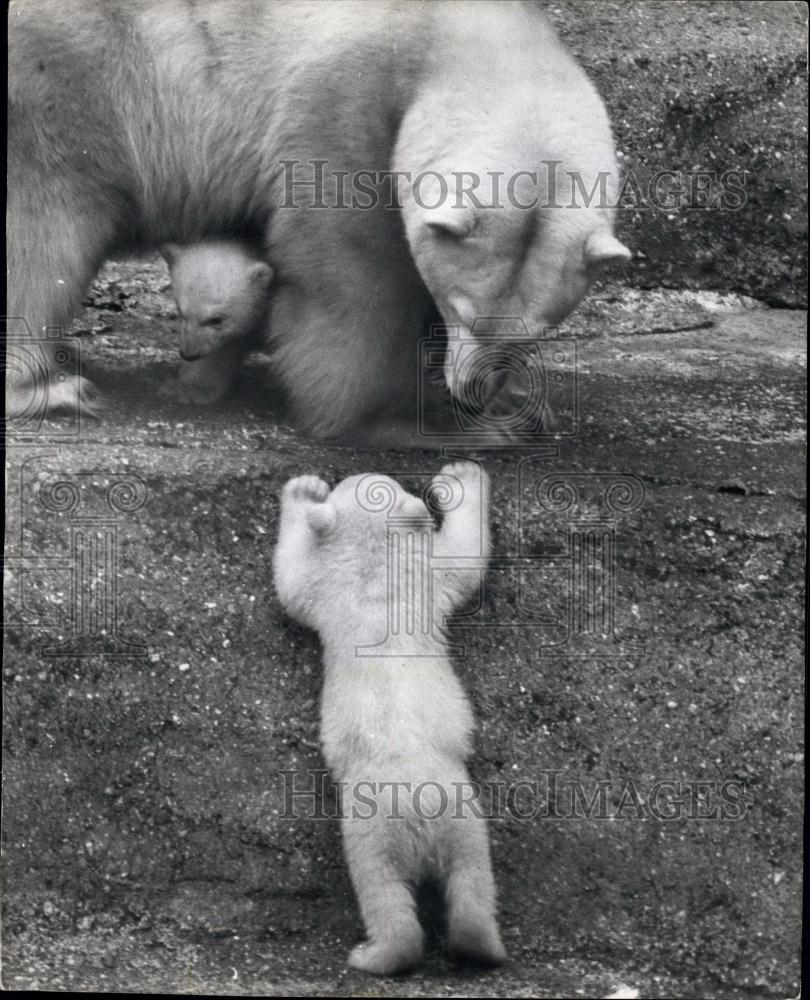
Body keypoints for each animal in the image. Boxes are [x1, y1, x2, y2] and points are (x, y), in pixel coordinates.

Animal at [6, 0, 628, 442]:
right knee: (44, 238)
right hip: (66, 89)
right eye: (463, 310)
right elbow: (352, 270)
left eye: (538, 330)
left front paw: (515, 401)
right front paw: (410, 421)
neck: (455, 39)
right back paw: (52, 388)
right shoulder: (343, 99)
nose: (472, 390)